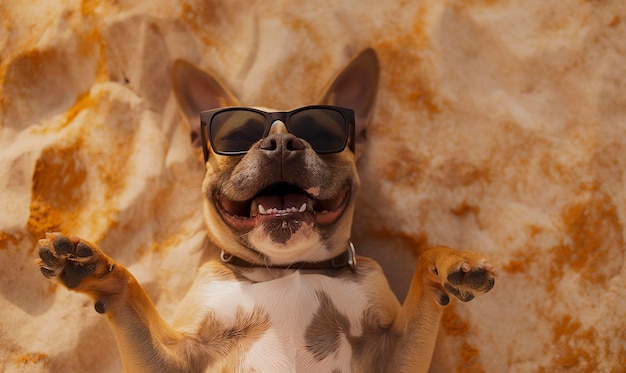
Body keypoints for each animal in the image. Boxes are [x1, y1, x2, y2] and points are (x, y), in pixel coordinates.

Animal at [35, 49, 492, 372]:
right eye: (236, 137)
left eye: (321, 132)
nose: (282, 143)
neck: (287, 268)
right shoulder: (177, 356)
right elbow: (130, 288)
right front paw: (94, 267)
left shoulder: (392, 352)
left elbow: (426, 260)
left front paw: (454, 261)